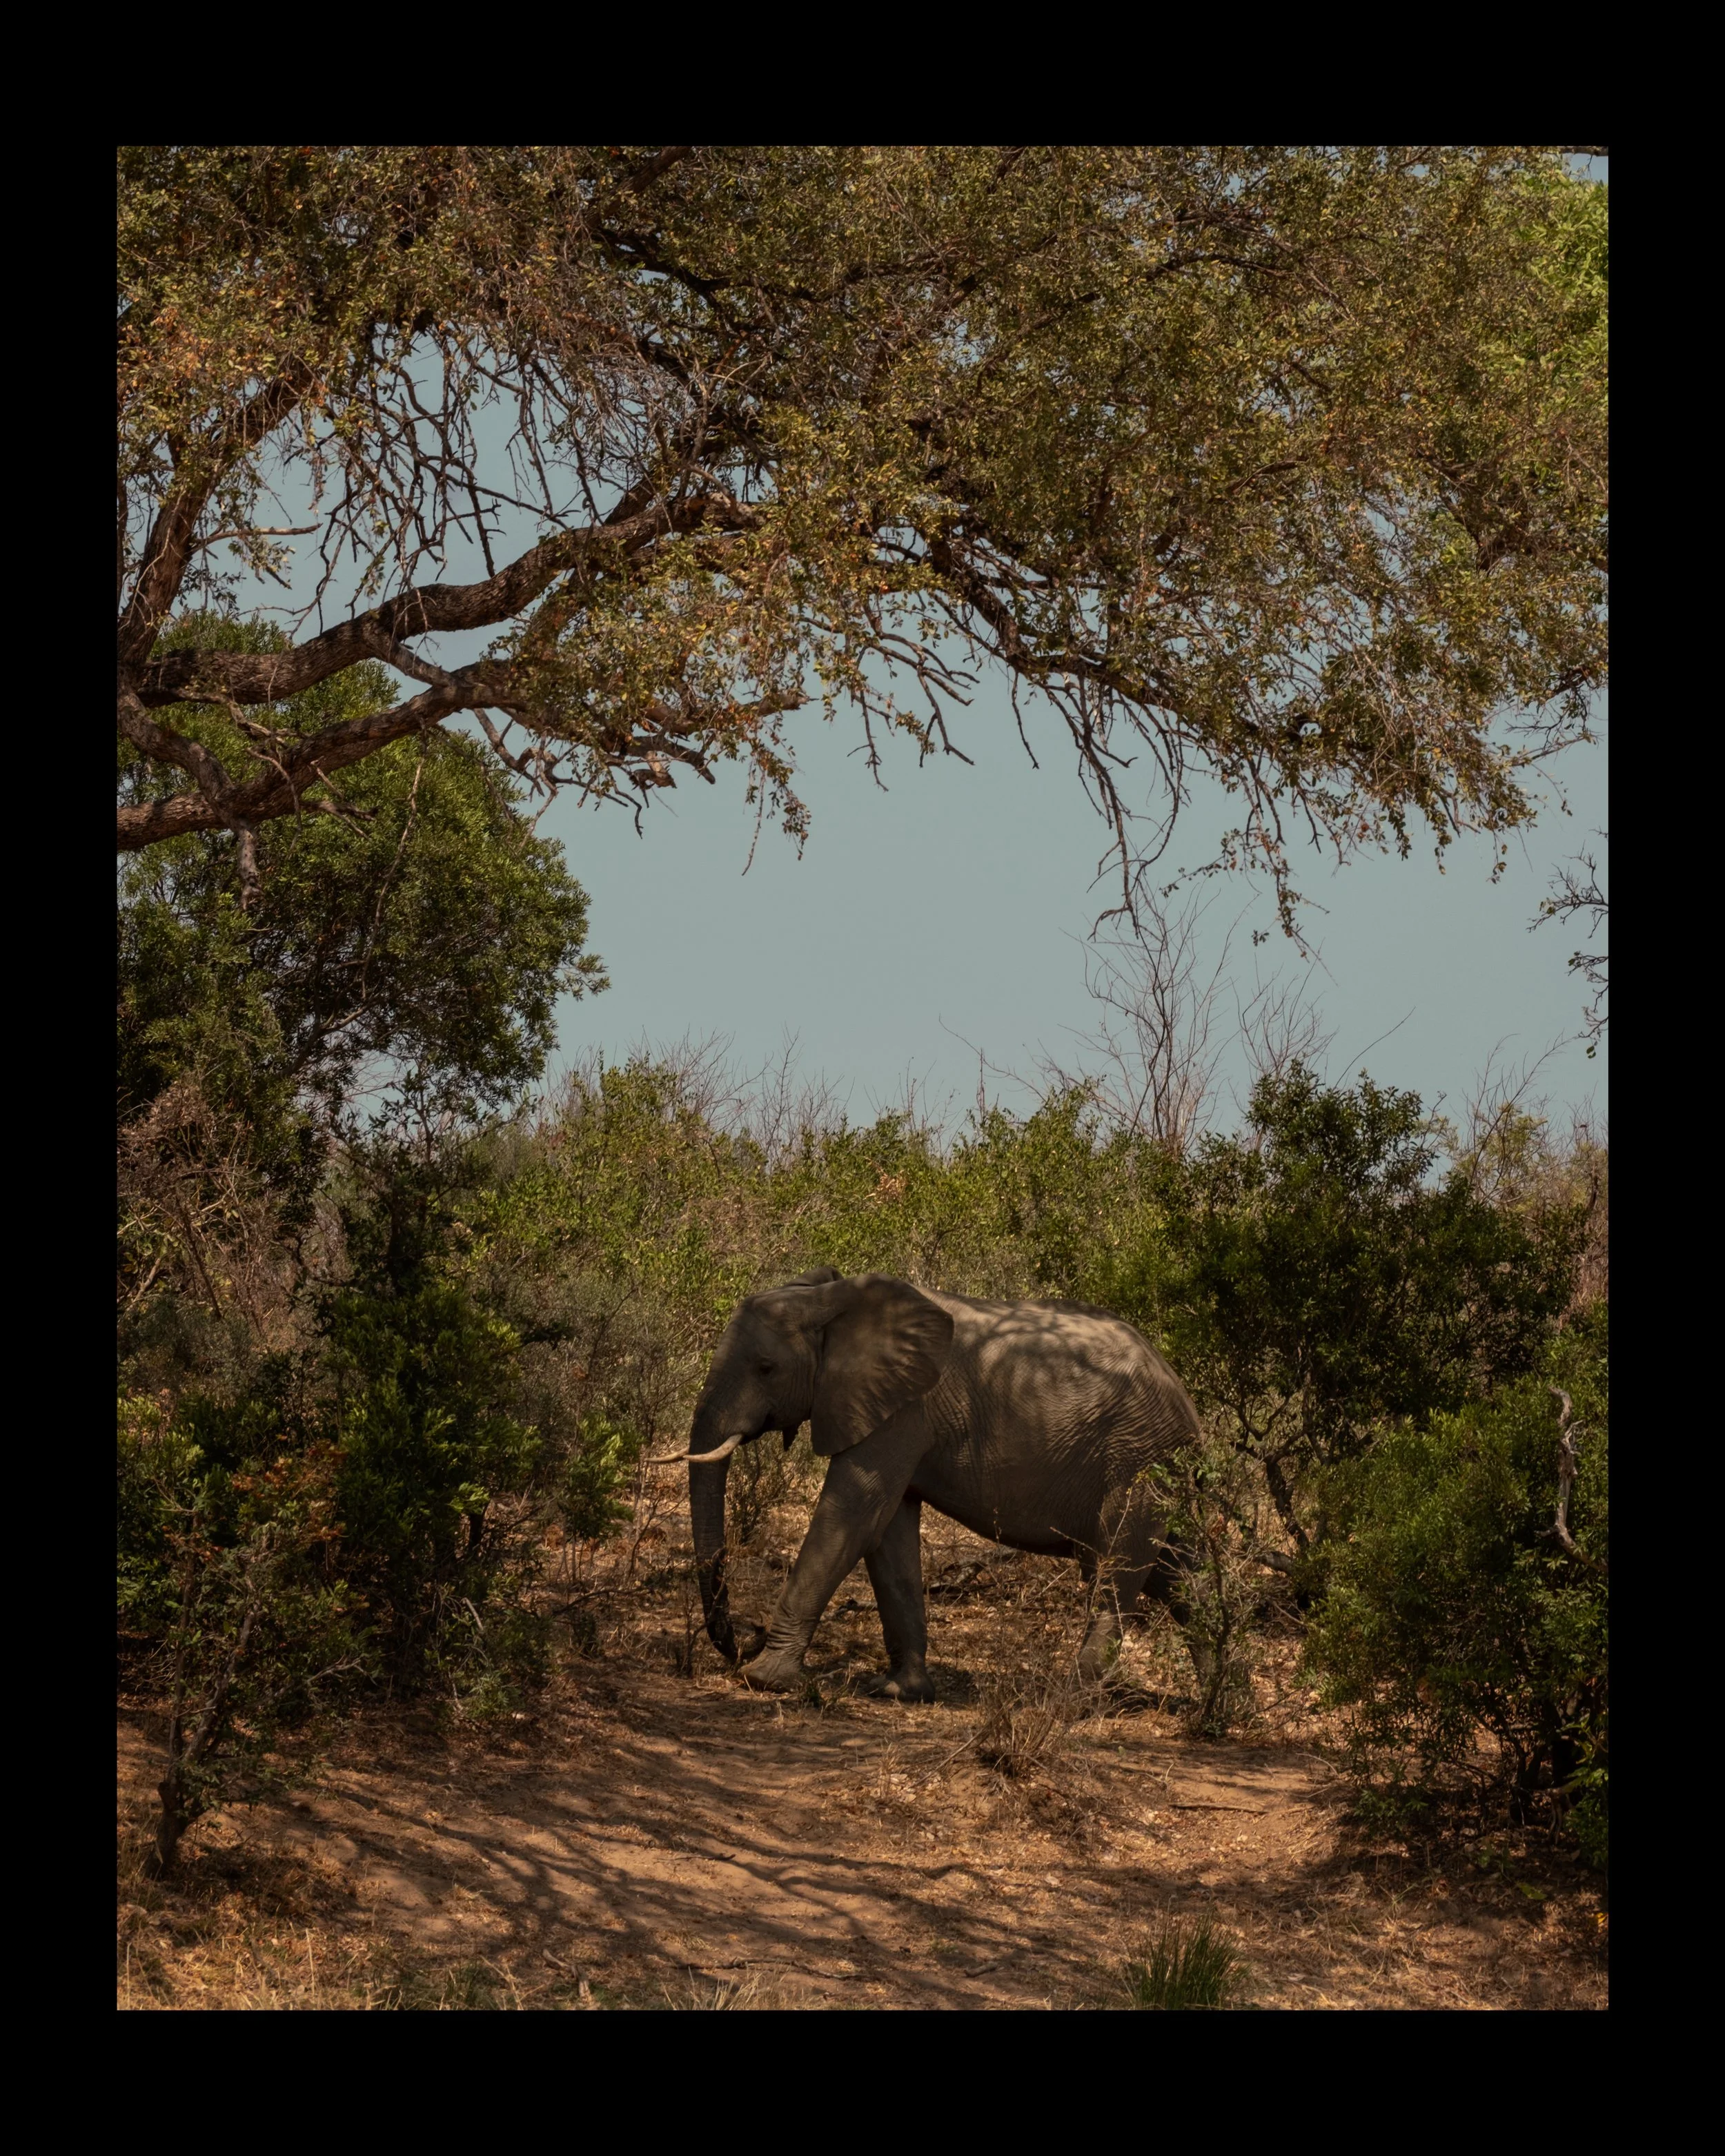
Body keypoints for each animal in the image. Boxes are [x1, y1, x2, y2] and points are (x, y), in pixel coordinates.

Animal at [651, 1267, 1204, 1702]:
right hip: (1153, 1465)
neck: (831, 1299)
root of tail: (1187, 1402)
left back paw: (1072, 1699)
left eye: (766, 1368)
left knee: (1117, 1567)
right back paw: (1210, 1704)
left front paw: (764, 1679)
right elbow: (887, 1531)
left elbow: (854, 1512)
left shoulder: (905, 1411)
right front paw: (901, 1692)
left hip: (1138, 1459)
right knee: (1173, 1572)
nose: (742, 1638)